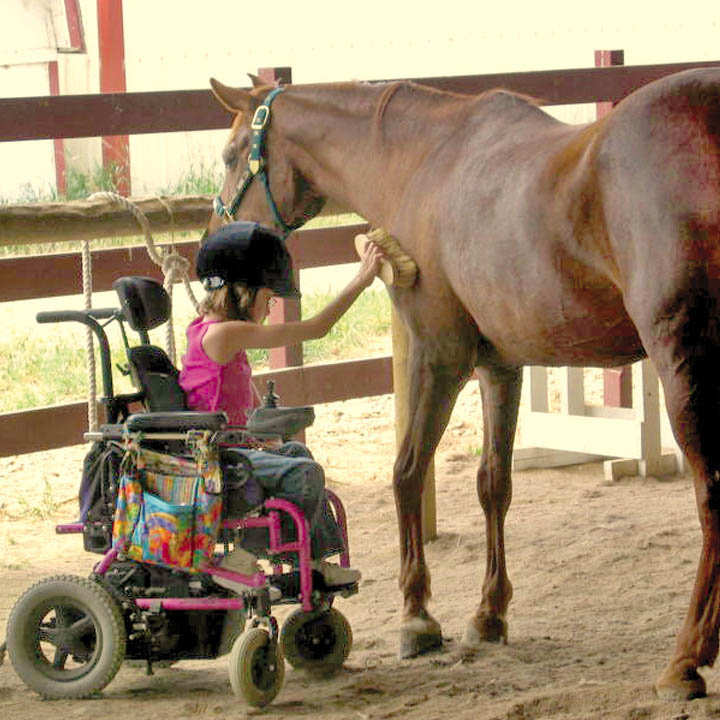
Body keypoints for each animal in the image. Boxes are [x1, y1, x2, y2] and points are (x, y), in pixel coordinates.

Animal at [203, 68, 720, 700]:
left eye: (231, 154)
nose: (214, 241)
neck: (422, 161)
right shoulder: (500, 367)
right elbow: (493, 484)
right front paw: (488, 615)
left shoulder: (438, 356)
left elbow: (406, 472)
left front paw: (417, 618)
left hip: (683, 363)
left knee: (712, 496)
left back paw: (685, 660)